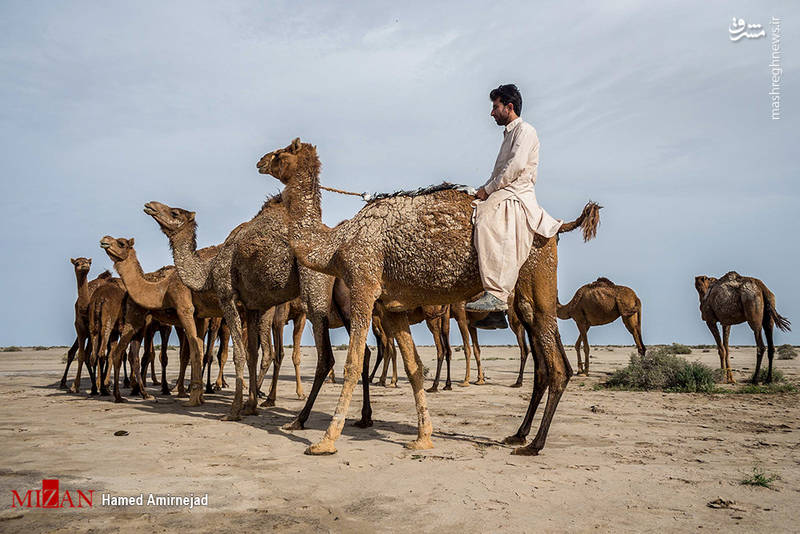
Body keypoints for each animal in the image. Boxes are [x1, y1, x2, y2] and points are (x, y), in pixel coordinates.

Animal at [143, 201, 372, 428]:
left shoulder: (227, 296)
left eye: (174, 212)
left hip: (313, 287)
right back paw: (363, 418)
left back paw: (299, 419)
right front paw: (251, 406)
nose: (150, 205)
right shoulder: (253, 307)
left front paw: (234, 411)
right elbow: (252, 353)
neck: (209, 271)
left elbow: (239, 354)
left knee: (325, 357)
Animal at [258, 139, 600, 456]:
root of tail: (557, 228)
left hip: (535, 274)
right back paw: (518, 435)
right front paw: (423, 437)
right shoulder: (391, 306)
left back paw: (535, 444)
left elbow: (353, 362)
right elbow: (414, 367)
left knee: (556, 367)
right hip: (530, 293)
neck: (336, 243)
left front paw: (325, 440)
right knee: (548, 362)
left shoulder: (363, 284)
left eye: (280, 154)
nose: (260, 161)